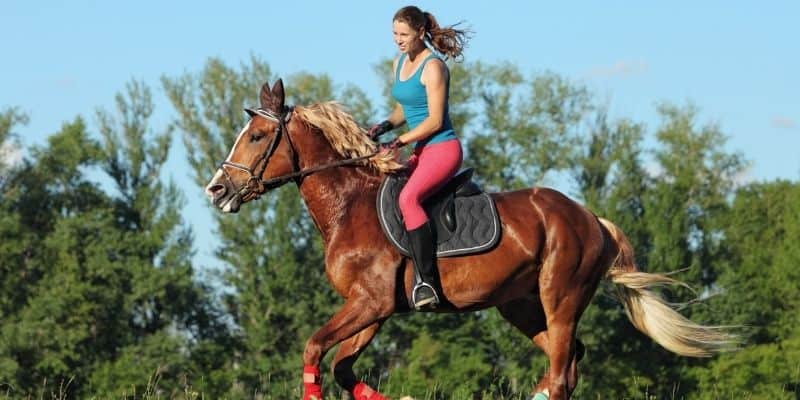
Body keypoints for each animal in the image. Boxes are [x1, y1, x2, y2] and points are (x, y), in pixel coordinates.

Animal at [205, 79, 732, 400]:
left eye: (256, 136)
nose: (216, 190)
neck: (349, 205)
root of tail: (592, 219)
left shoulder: (371, 303)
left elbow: (314, 349)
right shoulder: (375, 308)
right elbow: (342, 367)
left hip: (560, 297)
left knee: (563, 367)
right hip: (519, 305)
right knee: (566, 363)